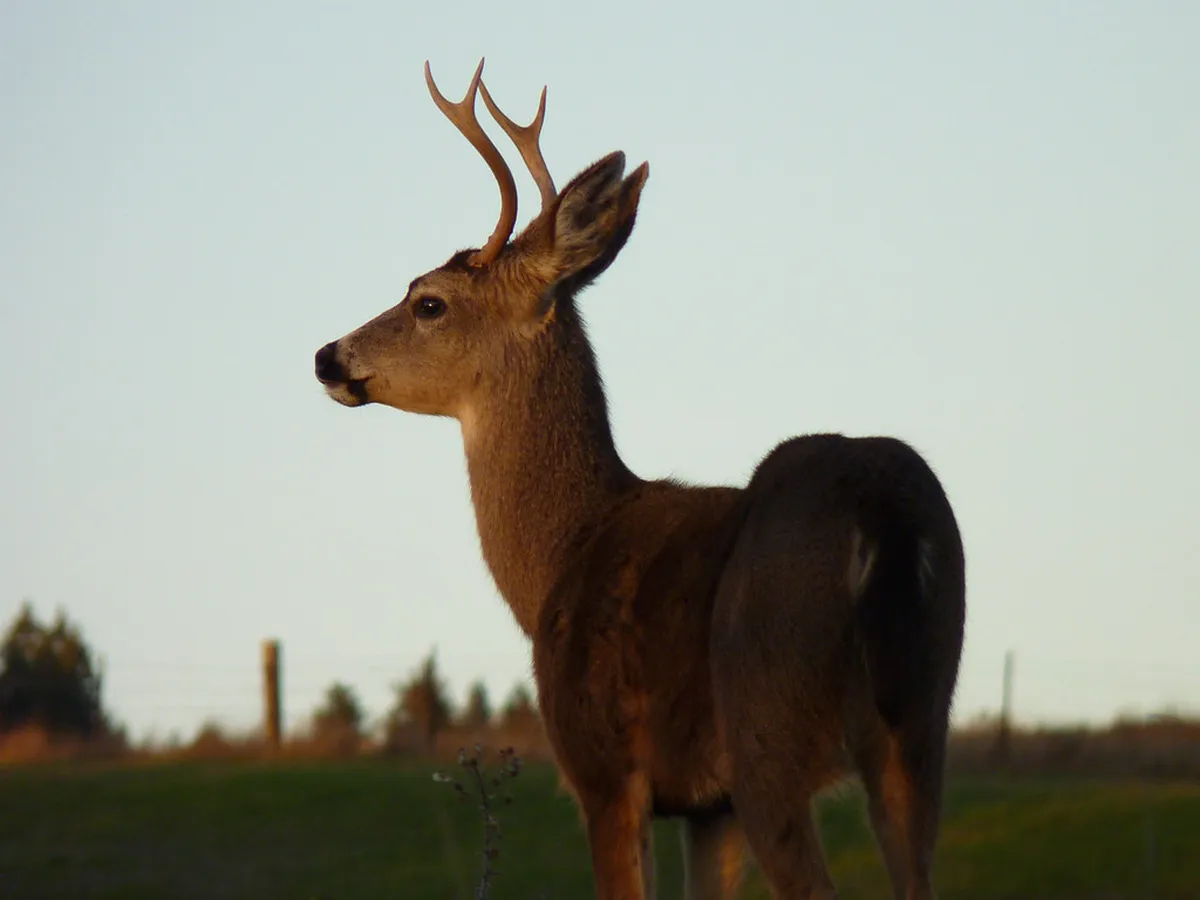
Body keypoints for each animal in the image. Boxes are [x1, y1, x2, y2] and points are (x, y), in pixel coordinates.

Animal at [314, 59, 966, 900]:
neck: (565, 552)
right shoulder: (707, 806)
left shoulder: (606, 773)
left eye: (428, 301)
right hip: (924, 719)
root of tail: (881, 509)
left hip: (769, 724)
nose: (328, 355)